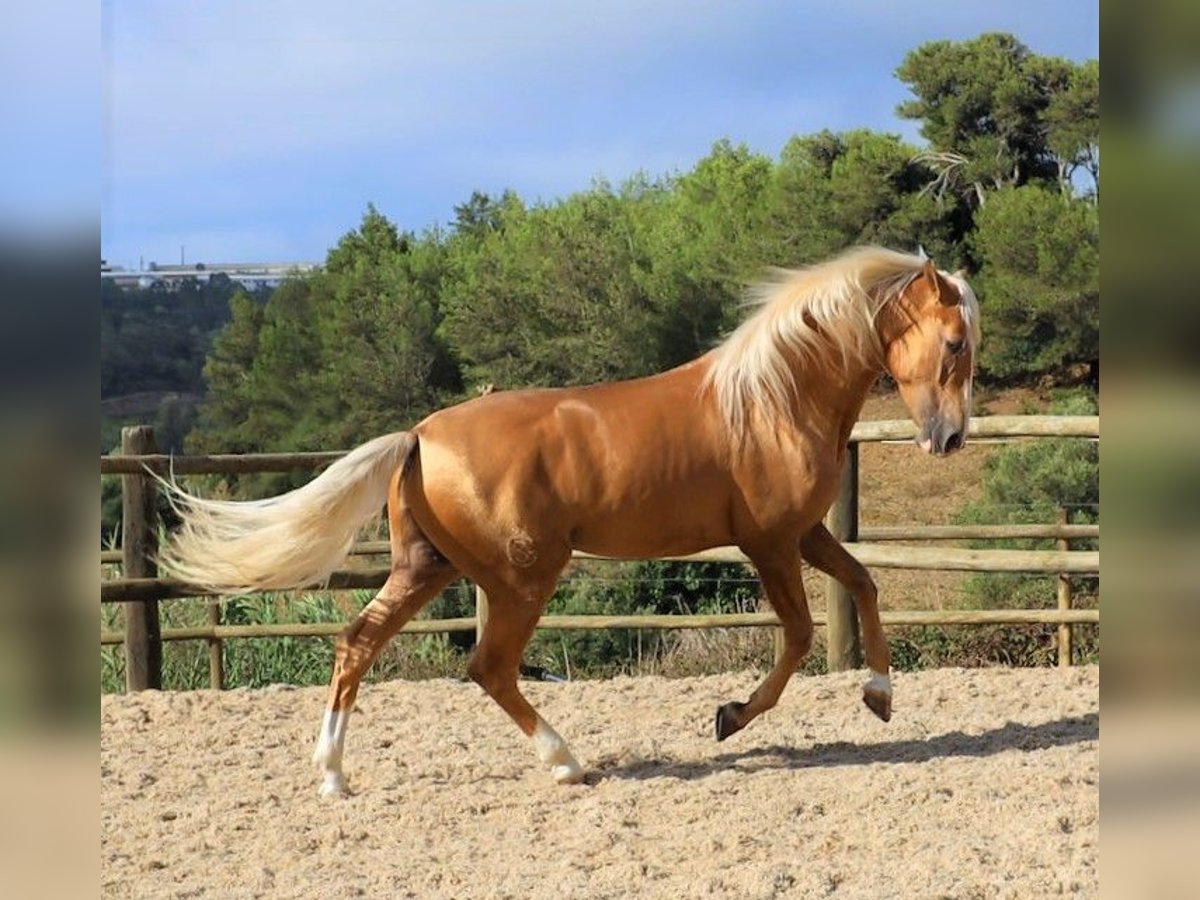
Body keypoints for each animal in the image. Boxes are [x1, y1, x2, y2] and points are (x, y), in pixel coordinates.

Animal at [162, 247, 984, 796]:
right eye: (953, 343)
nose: (949, 439)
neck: (773, 398)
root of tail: (419, 434)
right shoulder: (771, 542)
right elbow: (802, 636)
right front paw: (730, 717)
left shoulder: (807, 535)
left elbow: (866, 584)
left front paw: (879, 695)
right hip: (523, 576)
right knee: (488, 666)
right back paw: (567, 763)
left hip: (428, 568)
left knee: (357, 642)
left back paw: (334, 776)